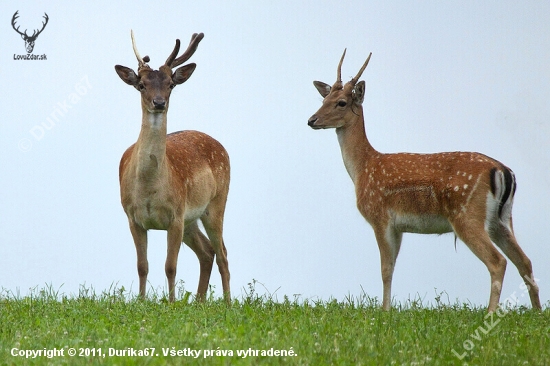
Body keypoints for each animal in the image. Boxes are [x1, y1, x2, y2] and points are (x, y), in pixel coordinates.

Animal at [116, 31, 231, 302]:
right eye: (141, 85)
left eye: (170, 84)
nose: (159, 102)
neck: (149, 189)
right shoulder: (132, 217)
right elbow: (142, 266)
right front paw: (141, 301)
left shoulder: (176, 214)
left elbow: (170, 266)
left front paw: (171, 303)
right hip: (192, 220)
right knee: (207, 251)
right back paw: (199, 302)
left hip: (216, 203)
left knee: (222, 253)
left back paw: (228, 302)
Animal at [308, 49, 544, 312]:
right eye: (323, 99)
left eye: (341, 102)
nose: (312, 120)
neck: (363, 168)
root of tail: (503, 171)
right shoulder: (398, 226)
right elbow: (391, 268)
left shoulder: (380, 217)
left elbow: (385, 269)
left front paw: (384, 311)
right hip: (502, 219)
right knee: (525, 261)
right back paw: (536, 312)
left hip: (467, 214)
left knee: (498, 261)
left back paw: (490, 312)